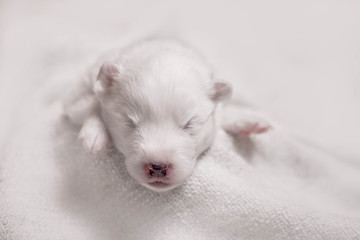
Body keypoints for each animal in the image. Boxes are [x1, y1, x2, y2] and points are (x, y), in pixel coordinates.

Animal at [62, 39, 270, 193]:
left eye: (189, 123)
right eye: (129, 121)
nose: (157, 167)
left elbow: (222, 114)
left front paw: (248, 120)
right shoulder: (81, 91)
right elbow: (90, 104)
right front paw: (95, 134)